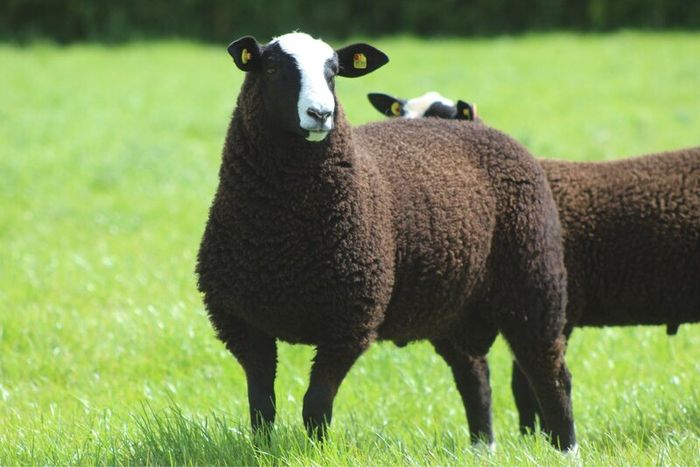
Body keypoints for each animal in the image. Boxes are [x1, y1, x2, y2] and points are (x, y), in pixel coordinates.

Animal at [196, 32, 577, 451]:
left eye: (334, 72)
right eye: (273, 67)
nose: (321, 114)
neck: (284, 238)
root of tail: (484, 128)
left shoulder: (349, 321)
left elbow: (316, 404)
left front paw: (316, 452)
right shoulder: (242, 323)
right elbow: (261, 405)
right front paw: (262, 450)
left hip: (533, 282)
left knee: (550, 374)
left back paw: (566, 448)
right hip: (453, 308)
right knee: (475, 377)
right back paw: (482, 447)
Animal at [369, 90, 700, 435]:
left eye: (441, 120)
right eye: (398, 115)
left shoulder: (553, 311)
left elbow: (525, 384)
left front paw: (535, 436)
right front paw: (530, 435)